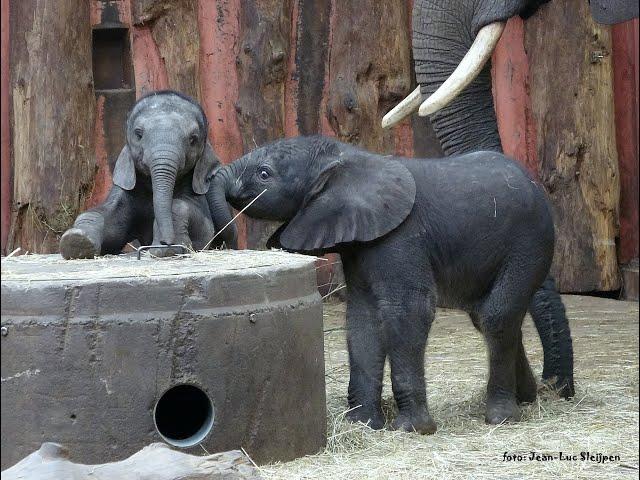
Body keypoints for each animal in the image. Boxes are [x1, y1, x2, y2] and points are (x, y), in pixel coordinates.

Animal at [59, 92, 238, 260]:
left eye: (193, 139)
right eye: (138, 134)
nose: (166, 241)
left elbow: (204, 230)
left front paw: (167, 250)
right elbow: (106, 219)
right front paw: (76, 241)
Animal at [210, 136, 576, 436]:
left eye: (264, 175)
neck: (346, 156)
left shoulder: (402, 236)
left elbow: (409, 310)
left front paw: (413, 429)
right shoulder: (359, 243)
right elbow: (363, 320)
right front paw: (362, 425)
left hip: (530, 244)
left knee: (497, 315)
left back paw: (501, 418)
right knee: (486, 316)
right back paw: (527, 399)